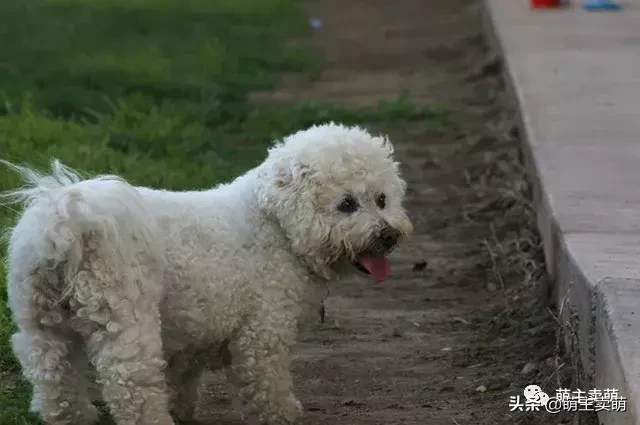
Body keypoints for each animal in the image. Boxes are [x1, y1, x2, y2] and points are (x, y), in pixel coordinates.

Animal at [2, 122, 412, 424]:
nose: (388, 236)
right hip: (125, 320)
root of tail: (64, 223)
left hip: (41, 324)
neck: (273, 225)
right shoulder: (263, 332)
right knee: (130, 385)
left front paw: (183, 410)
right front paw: (283, 414)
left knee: (54, 379)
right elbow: (267, 383)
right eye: (346, 205)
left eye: (382, 200)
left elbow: (182, 378)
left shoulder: (191, 332)